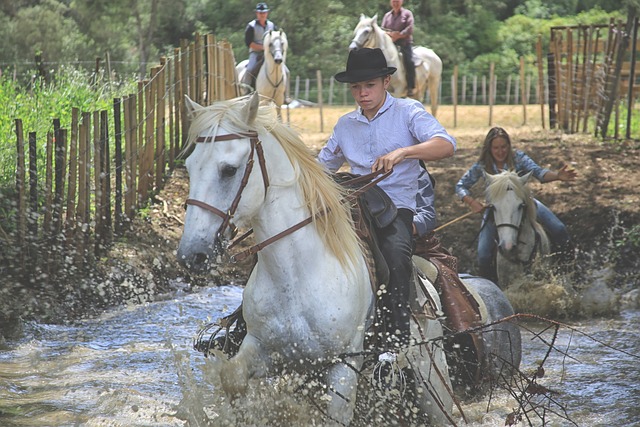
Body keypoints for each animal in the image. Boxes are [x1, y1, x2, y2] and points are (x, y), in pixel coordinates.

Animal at [175, 93, 520, 424]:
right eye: (190, 167)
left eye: (229, 169)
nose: (192, 254)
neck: (297, 275)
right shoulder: (265, 350)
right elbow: (232, 378)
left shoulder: (343, 367)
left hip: (431, 381)